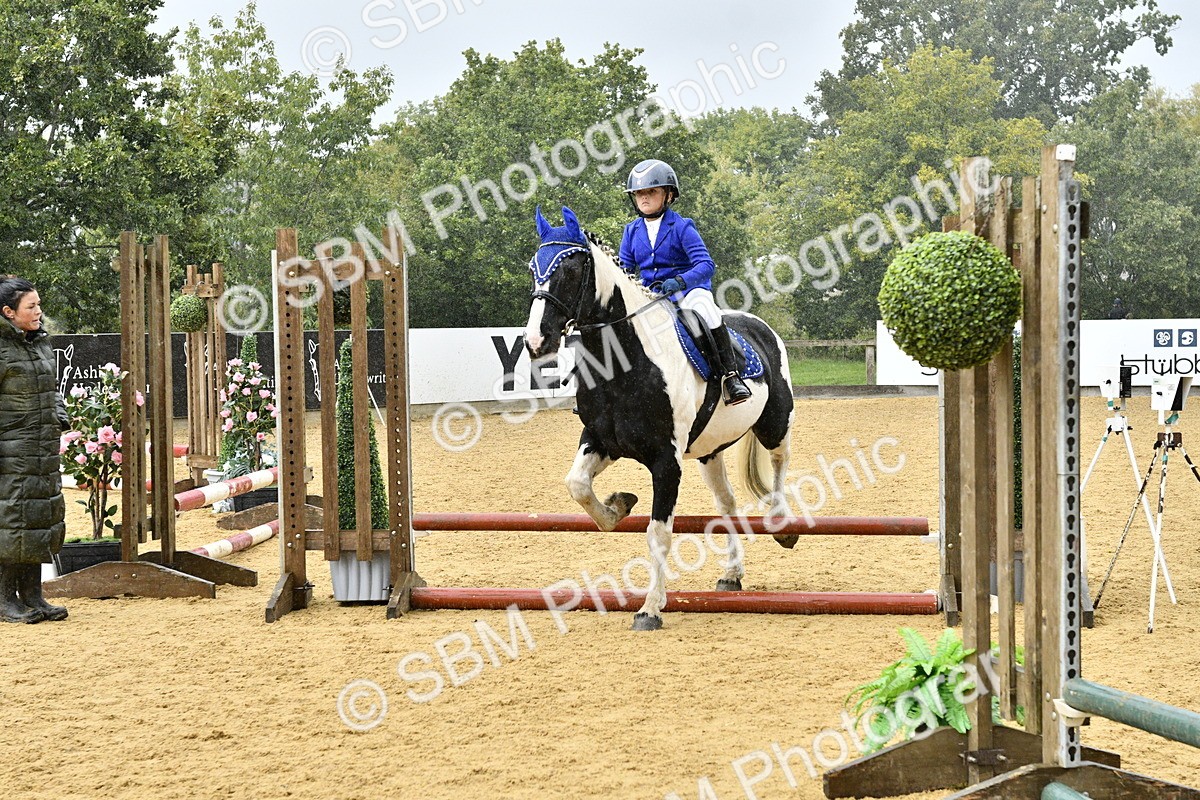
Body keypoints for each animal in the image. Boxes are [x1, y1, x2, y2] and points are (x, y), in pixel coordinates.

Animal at [522, 205, 796, 630]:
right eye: (533, 267)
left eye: (569, 270)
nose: (536, 341)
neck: (625, 363)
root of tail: (758, 325)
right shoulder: (601, 440)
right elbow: (578, 486)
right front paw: (618, 506)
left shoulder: (666, 462)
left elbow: (659, 534)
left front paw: (650, 608)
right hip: (709, 452)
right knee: (727, 503)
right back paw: (731, 573)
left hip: (774, 423)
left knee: (780, 461)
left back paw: (781, 525)